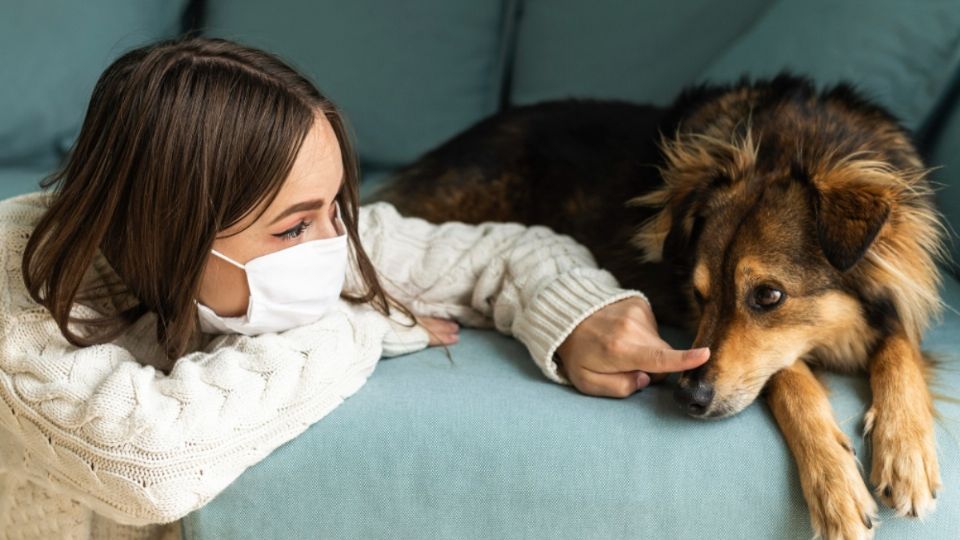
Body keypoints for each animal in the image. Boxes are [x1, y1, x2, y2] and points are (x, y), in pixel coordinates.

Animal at [374, 73, 944, 540]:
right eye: (698, 292)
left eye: (769, 296)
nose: (687, 398)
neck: (792, 140)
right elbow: (789, 377)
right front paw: (834, 485)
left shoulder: (898, 302)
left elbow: (898, 349)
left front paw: (906, 452)